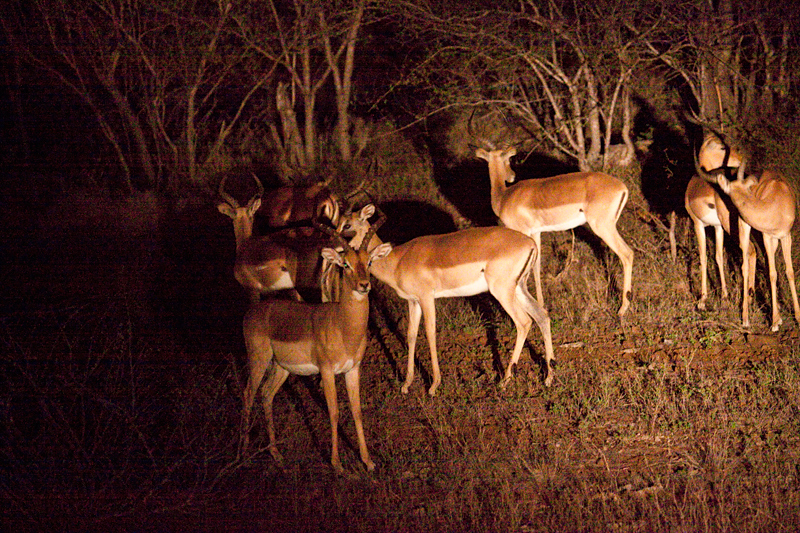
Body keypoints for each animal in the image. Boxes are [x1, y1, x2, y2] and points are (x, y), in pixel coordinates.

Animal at [239, 215, 392, 470]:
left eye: (369, 261)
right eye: (345, 264)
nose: (364, 285)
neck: (343, 327)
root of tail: (253, 312)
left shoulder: (353, 370)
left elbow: (357, 411)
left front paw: (368, 462)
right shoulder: (327, 371)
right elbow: (334, 411)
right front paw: (337, 464)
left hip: (281, 367)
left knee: (266, 394)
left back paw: (276, 454)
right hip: (259, 359)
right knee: (249, 392)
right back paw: (243, 450)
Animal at [340, 204, 556, 394]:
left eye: (347, 225)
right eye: (338, 223)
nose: (340, 251)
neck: (398, 260)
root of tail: (530, 243)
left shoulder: (426, 298)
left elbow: (430, 333)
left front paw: (434, 386)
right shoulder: (413, 302)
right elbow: (411, 335)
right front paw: (406, 385)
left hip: (502, 292)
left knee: (524, 322)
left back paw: (505, 381)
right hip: (518, 288)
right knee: (542, 315)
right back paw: (548, 378)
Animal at [472, 147, 636, 316]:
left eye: (508, 160)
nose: (511, 176)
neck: (504, 197)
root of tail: (622, 187)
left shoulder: (523, 232)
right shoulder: (535, 234)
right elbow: (536, 266)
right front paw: (541, 304)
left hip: (602, 227)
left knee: (627, 254)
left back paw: (622, 309)